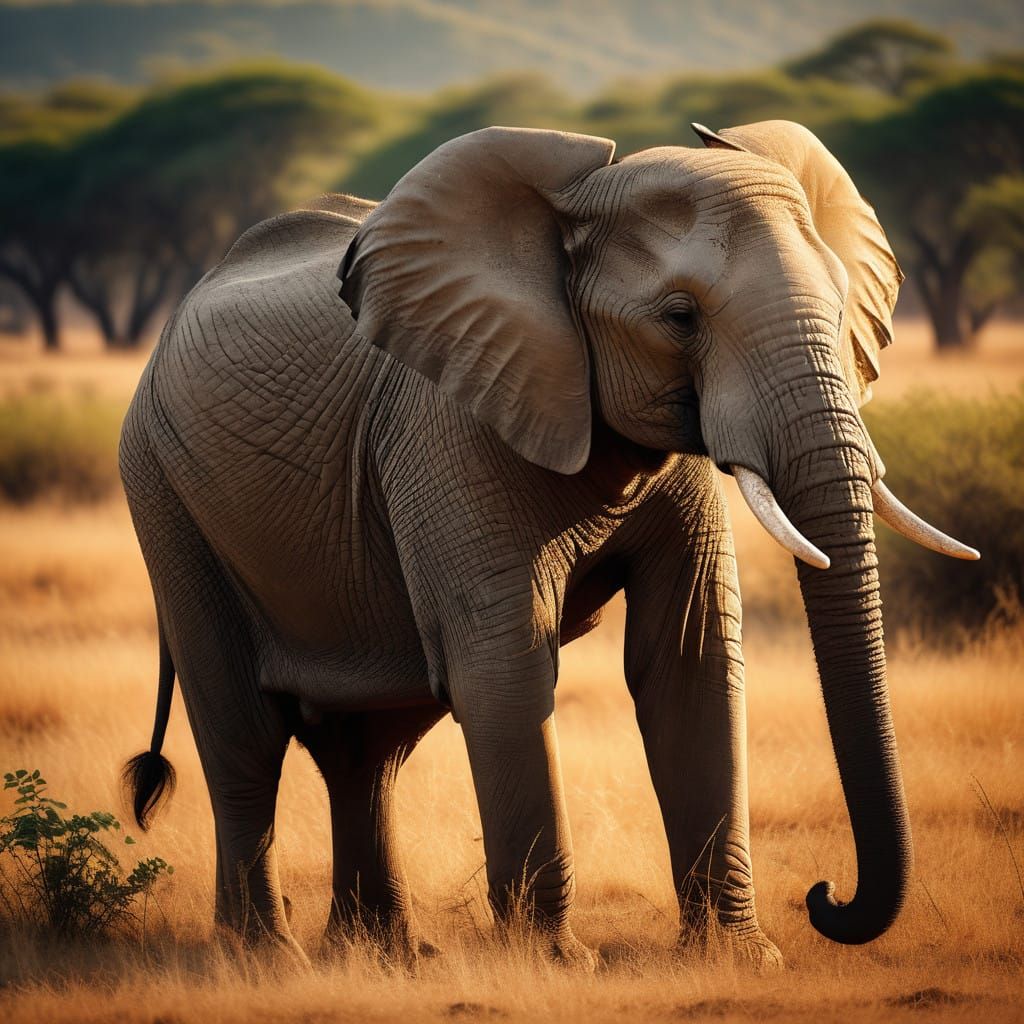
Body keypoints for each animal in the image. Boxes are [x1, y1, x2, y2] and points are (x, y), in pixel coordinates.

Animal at [120, 120, 978, 970]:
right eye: (680, 317)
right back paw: (267, 958)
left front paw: (736, 958)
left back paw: (387, 956)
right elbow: (505, 670)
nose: (826, 896)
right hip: (163, 491)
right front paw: (557, 964)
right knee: (244, 737)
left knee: (369, 749)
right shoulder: (449, 424)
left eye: (838, 304)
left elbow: (691, 662)